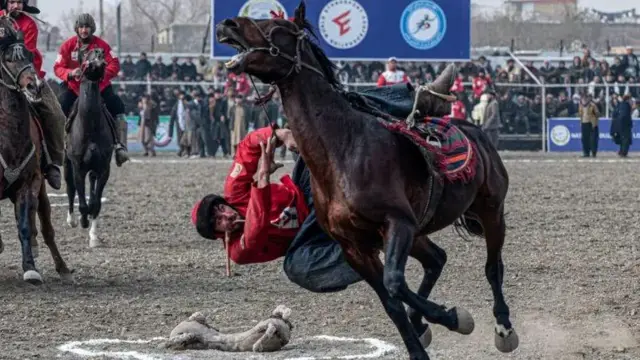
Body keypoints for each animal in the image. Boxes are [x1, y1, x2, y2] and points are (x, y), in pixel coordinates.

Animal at [218, 3, 516, 360]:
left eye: (277, 28)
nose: (228, 23)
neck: (344, 149)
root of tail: (475, 132)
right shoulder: (355, 247)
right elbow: (391, 301)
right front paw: (420, 343)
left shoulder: (397, 222)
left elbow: (395, 282)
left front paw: (454, 317)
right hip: (419, 231)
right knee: (437, 259)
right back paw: (423, 324)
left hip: (490, 210)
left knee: (492, 267)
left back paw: (503, 328)